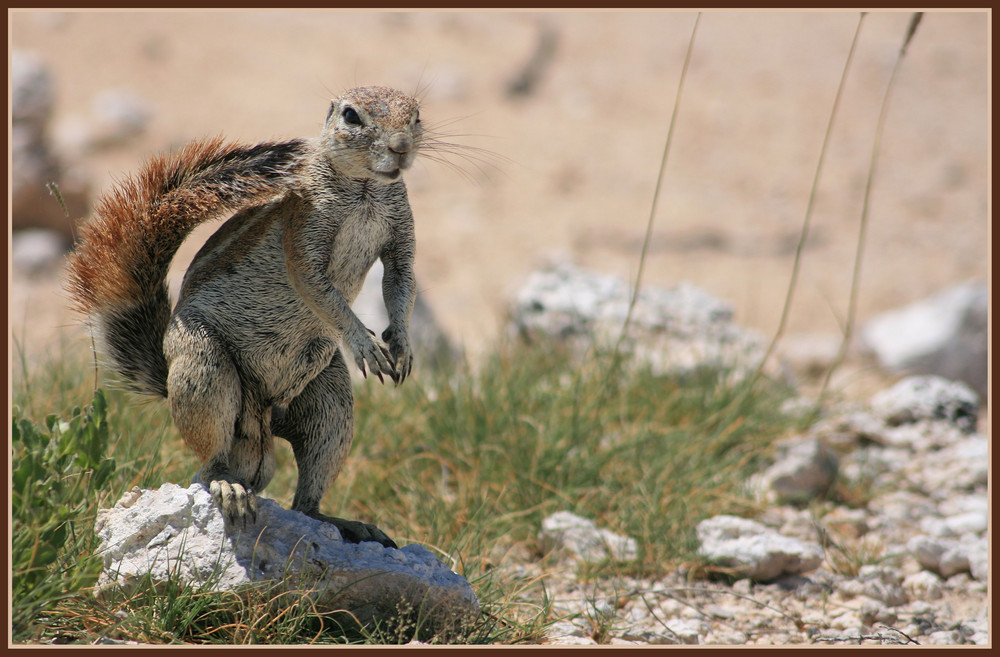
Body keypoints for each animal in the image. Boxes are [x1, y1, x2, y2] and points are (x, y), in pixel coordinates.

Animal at [65, 87, 426, 548]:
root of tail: (261, 423)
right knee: (208, 462)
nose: (401, 147)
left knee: (306, 497)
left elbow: (401, 280)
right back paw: (228, 486)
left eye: (416, 115)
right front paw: (363, 342)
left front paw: (402, 345)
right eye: (351, 116)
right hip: (205, 366)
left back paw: (345, 523)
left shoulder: (400, 235)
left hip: (330, 398)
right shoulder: (303, 228)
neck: (366, 190)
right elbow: (316, 287)